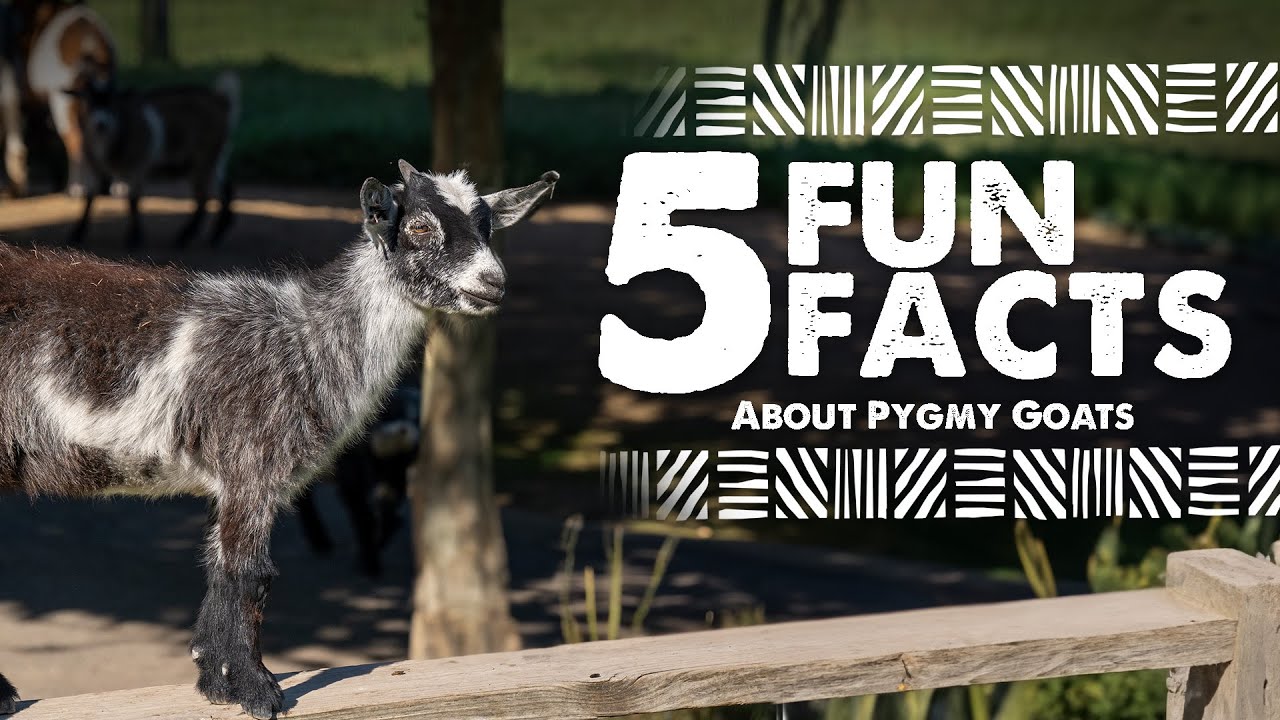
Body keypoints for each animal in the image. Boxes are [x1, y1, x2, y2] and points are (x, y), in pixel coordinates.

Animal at [0, 160, 558, 719]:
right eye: (419, 227)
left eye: (487, 228)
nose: (492, 283)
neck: (304, 340)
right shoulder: (252, 461)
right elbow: (249, 572)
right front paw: (257, 691)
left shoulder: (234, 480)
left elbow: (219, 565)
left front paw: (216, 682)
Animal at [67, 68, 240, 248]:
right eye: (88, 101)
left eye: (113, 102)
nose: (101, 124)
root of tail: (221, 99)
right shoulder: (96, 168)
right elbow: (90, 197)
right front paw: (77, 233)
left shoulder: (137, 165)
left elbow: (133, 200)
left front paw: (134, 237)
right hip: (214, 159)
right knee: (225, 189)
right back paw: (216, 233)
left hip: (204, 158)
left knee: (203, 197)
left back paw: (186, 236)